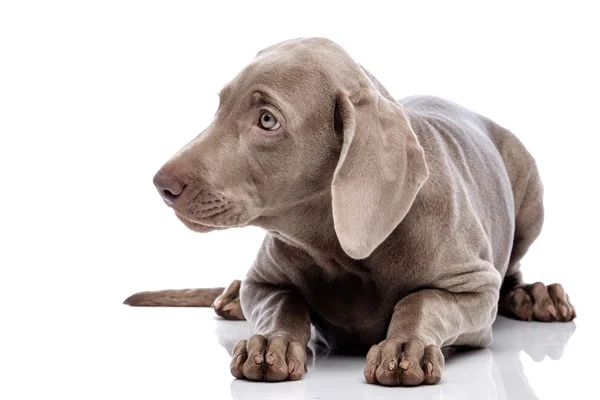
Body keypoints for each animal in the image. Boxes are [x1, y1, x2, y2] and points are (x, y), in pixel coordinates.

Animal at [123, 38, 576, 388]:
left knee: (512, 271)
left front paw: (405, 347)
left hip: (529, 194)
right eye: (219, 107)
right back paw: (231, 296)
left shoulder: (474, 290)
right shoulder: (264, 281)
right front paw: (269, 343)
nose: (162, 185)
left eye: (267, 120)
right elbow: (281, 302)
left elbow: (424, 300)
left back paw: (537, 294)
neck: (334, 244)